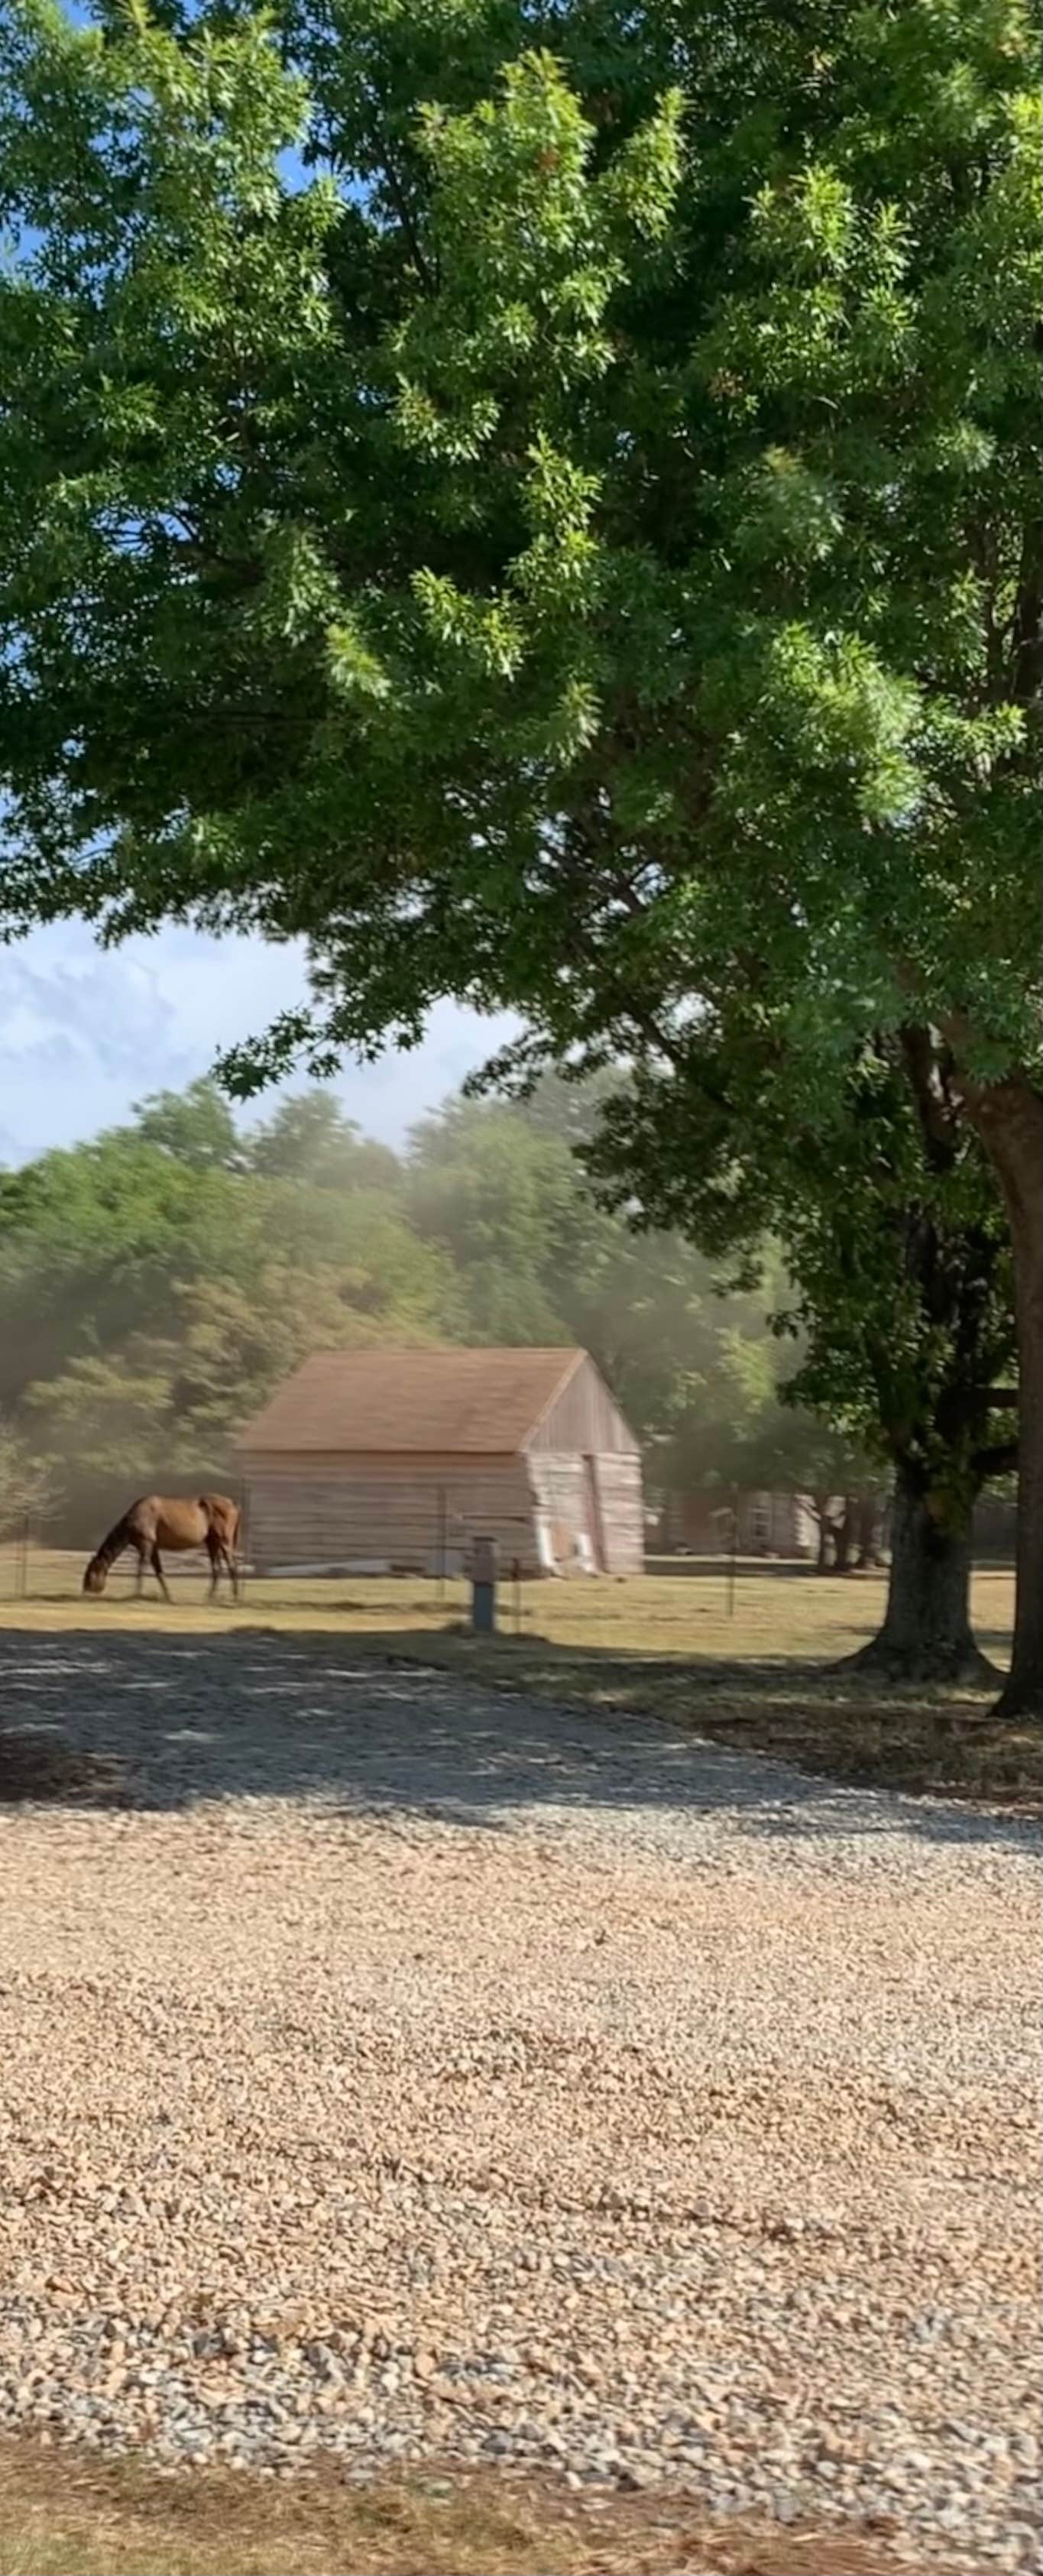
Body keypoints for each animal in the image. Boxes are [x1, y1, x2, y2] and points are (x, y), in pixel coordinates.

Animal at [83, 1495, 242, 1603]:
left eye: (91, 1572)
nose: (85, 1589)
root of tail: (234, 1505)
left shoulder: (146, 1543)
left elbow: (141, 1569)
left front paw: (136, 1594)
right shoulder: (154, 1547)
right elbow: (160, 1573)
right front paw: (168, 1597)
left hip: (224, 1541)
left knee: (232, 1566)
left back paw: (235, 1597)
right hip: (212, 1542)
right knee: (217, 1568)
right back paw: (209, 1597)